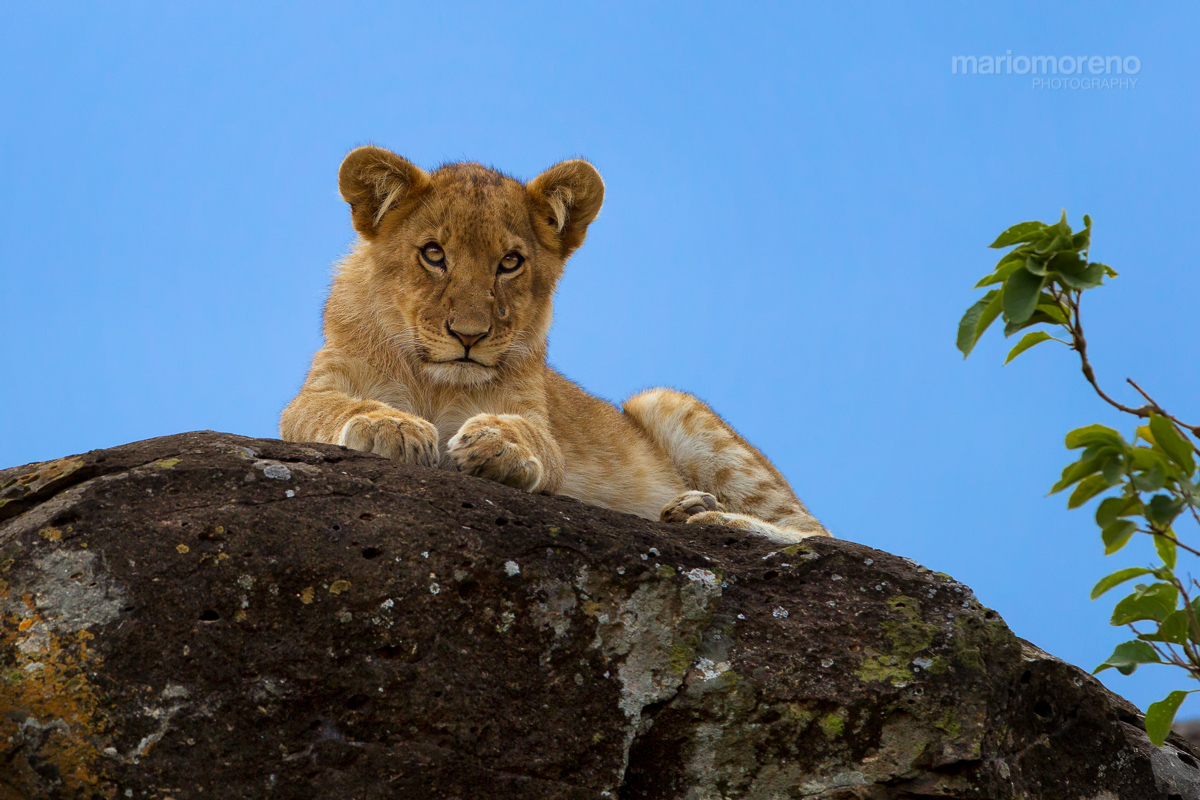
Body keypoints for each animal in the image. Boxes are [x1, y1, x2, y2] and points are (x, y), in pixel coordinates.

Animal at [280, 146, 828, 542]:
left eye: (510, 262)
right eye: (433, 254)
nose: (469, 336)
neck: (434, 381)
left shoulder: (533, 413)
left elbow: (537, 438)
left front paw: (498, 444)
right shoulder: (317, 390)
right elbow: (328, 409)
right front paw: (391, 426)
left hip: (663, 401)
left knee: (817, 534)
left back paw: (706, 515)